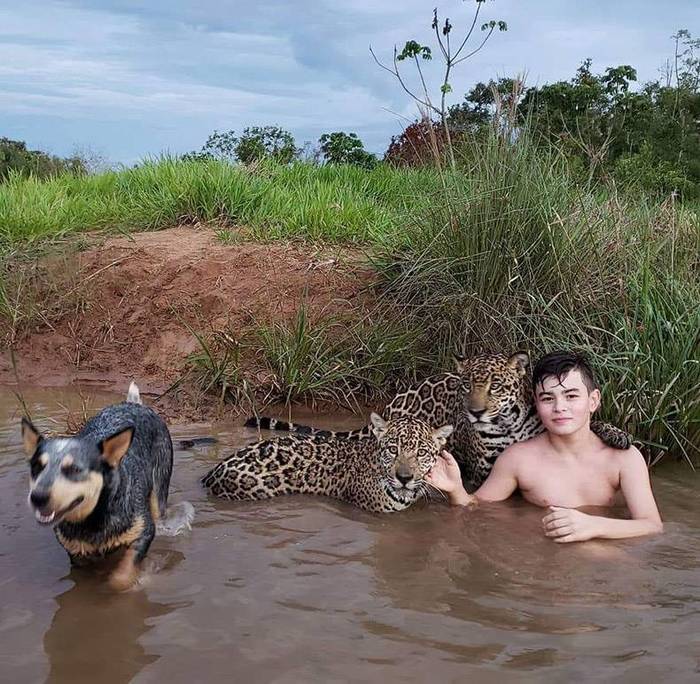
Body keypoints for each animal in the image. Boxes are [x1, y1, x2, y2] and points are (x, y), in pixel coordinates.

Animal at [22, 382, 175, 592]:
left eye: (74, 469)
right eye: (36, 467)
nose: (37, 497)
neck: (93, 519)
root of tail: (134, 403)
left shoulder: (143, 532)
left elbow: (121, 577)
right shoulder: (76, 554)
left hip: (160, 488)